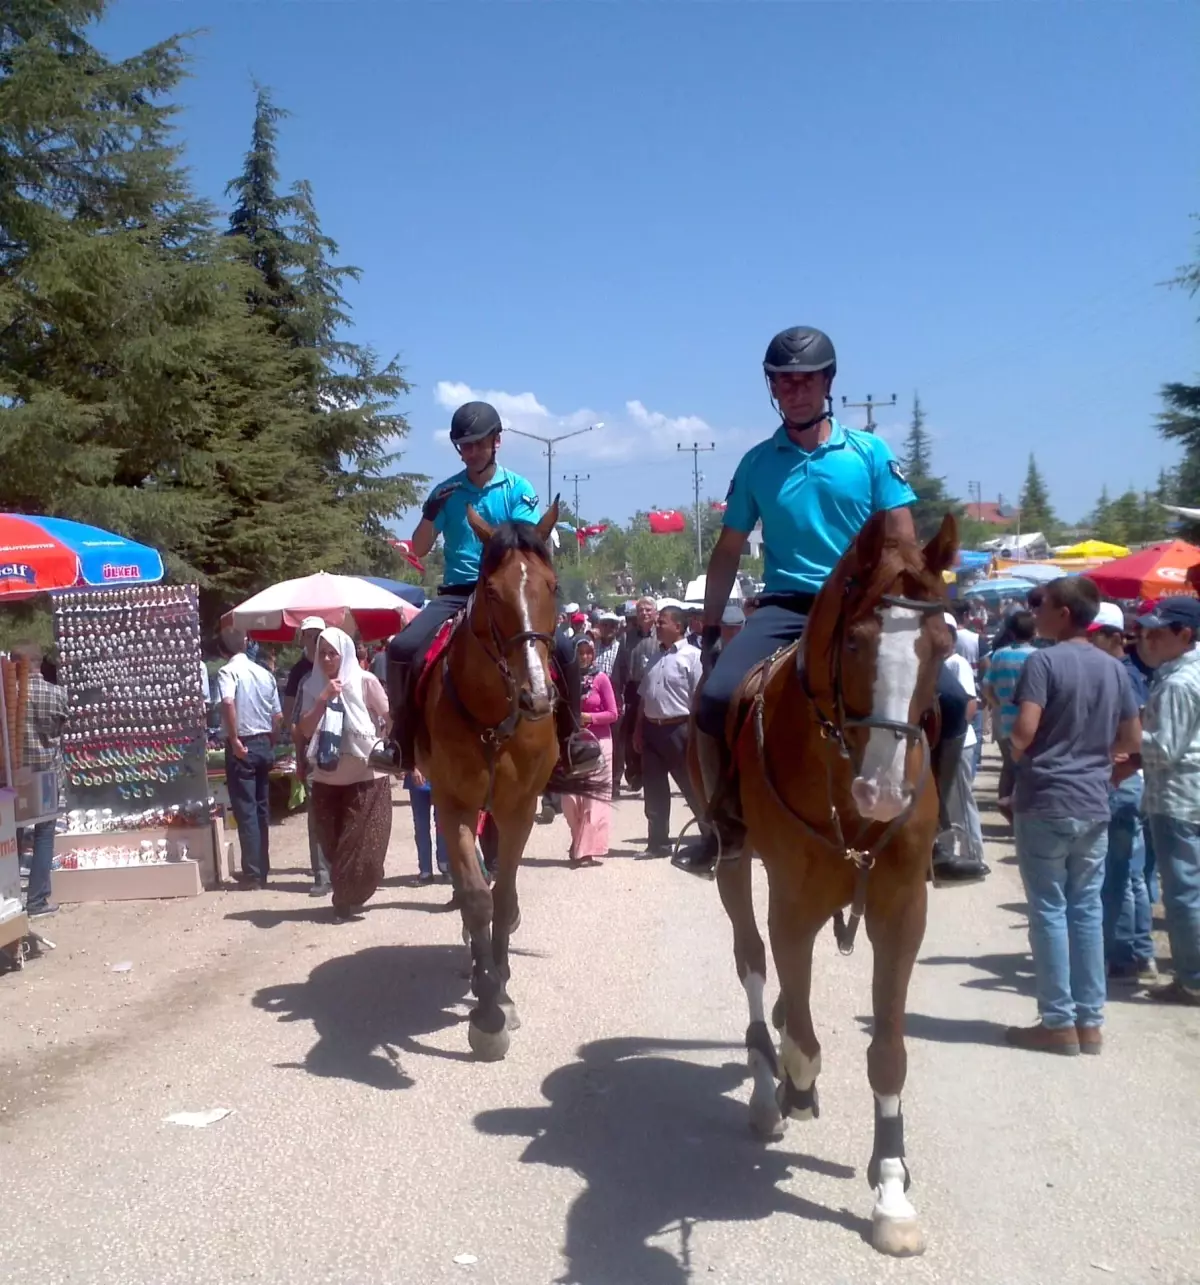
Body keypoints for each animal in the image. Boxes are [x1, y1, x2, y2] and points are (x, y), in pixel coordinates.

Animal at [423, 498, 567, 1053]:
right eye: (490, 591)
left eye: (553, 586)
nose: (537, 697)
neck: (491, 717)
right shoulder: (453, 805)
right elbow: (477, 900)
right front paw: (486, 1013)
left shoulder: (518, 809)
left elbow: (503, 900)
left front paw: (501, 993)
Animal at [693, 508, 955, 1254]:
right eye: (858, 641)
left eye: (944, 642)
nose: (884, 791)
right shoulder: (791, 905)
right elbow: (805, 1041)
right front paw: (795, 1084)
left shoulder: (902, 912)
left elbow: (888, 1051)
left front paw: (892, 1193)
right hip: (733, 866)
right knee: (754, 966)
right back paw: (768, 1090)